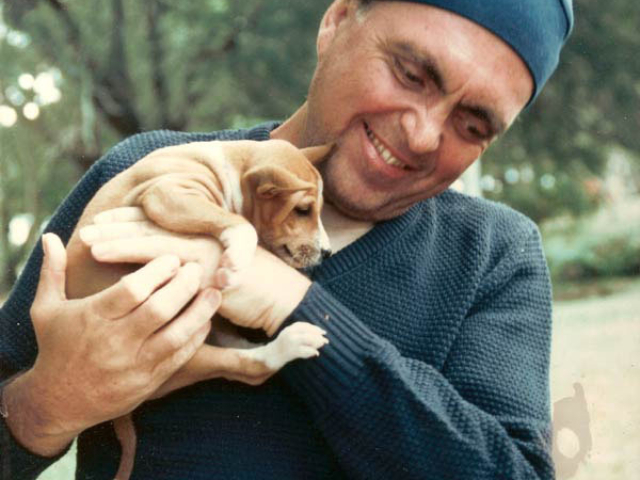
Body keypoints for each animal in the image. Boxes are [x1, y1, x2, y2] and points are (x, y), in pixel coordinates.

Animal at [64, 137, 332, 478]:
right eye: (303, 210)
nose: (328, 252)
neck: (232, 169)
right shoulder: (169, 191)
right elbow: (243, 225)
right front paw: (236, 259)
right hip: (187, 358)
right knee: (250, 368)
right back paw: (290, 343)